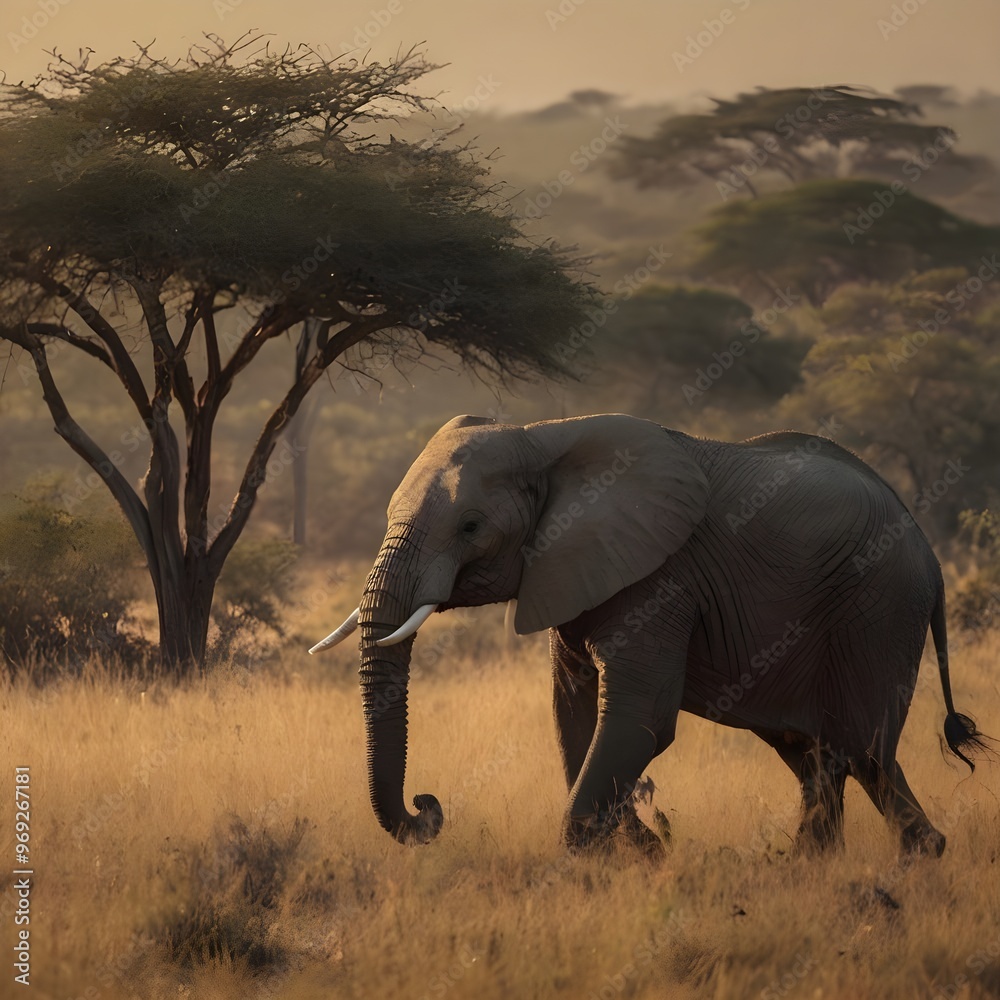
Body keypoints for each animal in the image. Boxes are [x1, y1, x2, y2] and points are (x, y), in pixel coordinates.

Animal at [311, 413, 989, 855]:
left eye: (471, 526)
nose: (427, 806)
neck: (542, 435)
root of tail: (928, 549)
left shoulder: (661, 578)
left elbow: (639, 720)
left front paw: (601, 857)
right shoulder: (572, 570)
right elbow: (573, 714)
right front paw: (643, 854)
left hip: (879, 607)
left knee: (863, 748)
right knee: (821, 756)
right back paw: (831, 868)